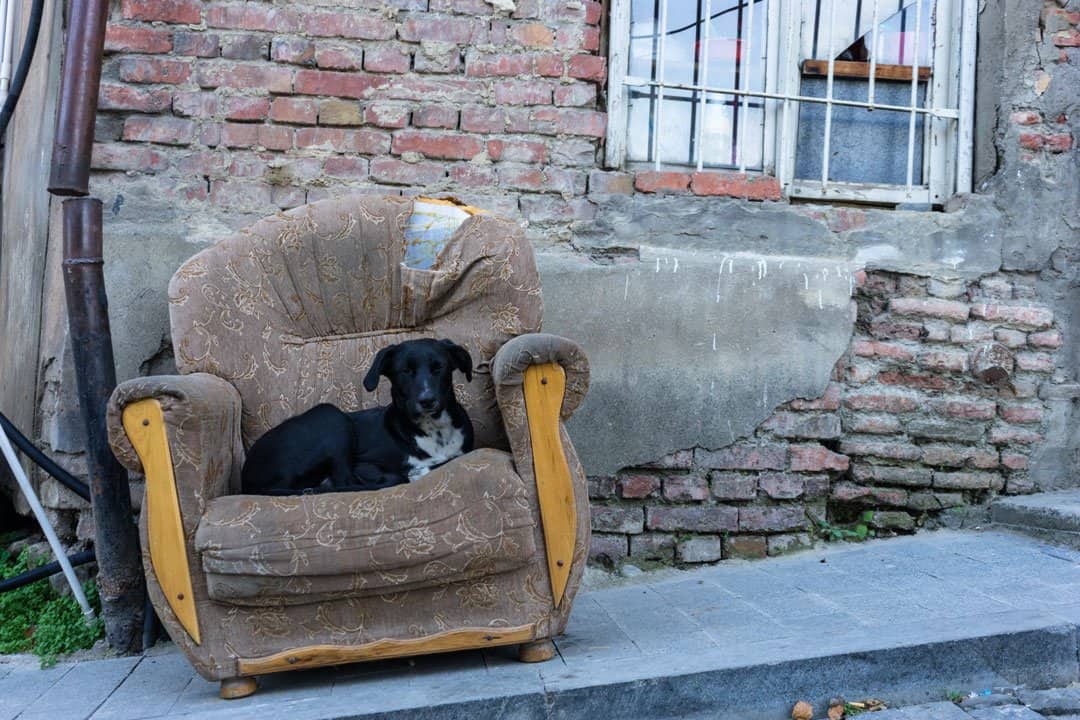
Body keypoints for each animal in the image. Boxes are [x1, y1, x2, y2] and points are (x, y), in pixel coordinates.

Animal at [243, 338, 475, 496]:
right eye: (405, 371)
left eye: (439, 367)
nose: (427, 400)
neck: (433, 430)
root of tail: (248, 479)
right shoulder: (363, 464)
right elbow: (399, 474)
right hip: (331, 416)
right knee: (344, 482)